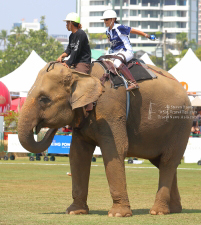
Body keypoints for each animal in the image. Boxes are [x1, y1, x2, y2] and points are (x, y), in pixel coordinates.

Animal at [18, 60, 192, 217]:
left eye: (44, 99)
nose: (49, 128)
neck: (79, 73)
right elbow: (77, 154)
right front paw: (74, 212)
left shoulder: (110, 110)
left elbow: (114, 149)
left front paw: (118, 214)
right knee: (163, 163)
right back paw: (174, 210)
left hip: (181, 124)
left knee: (168, 162)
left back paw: (158, 211)